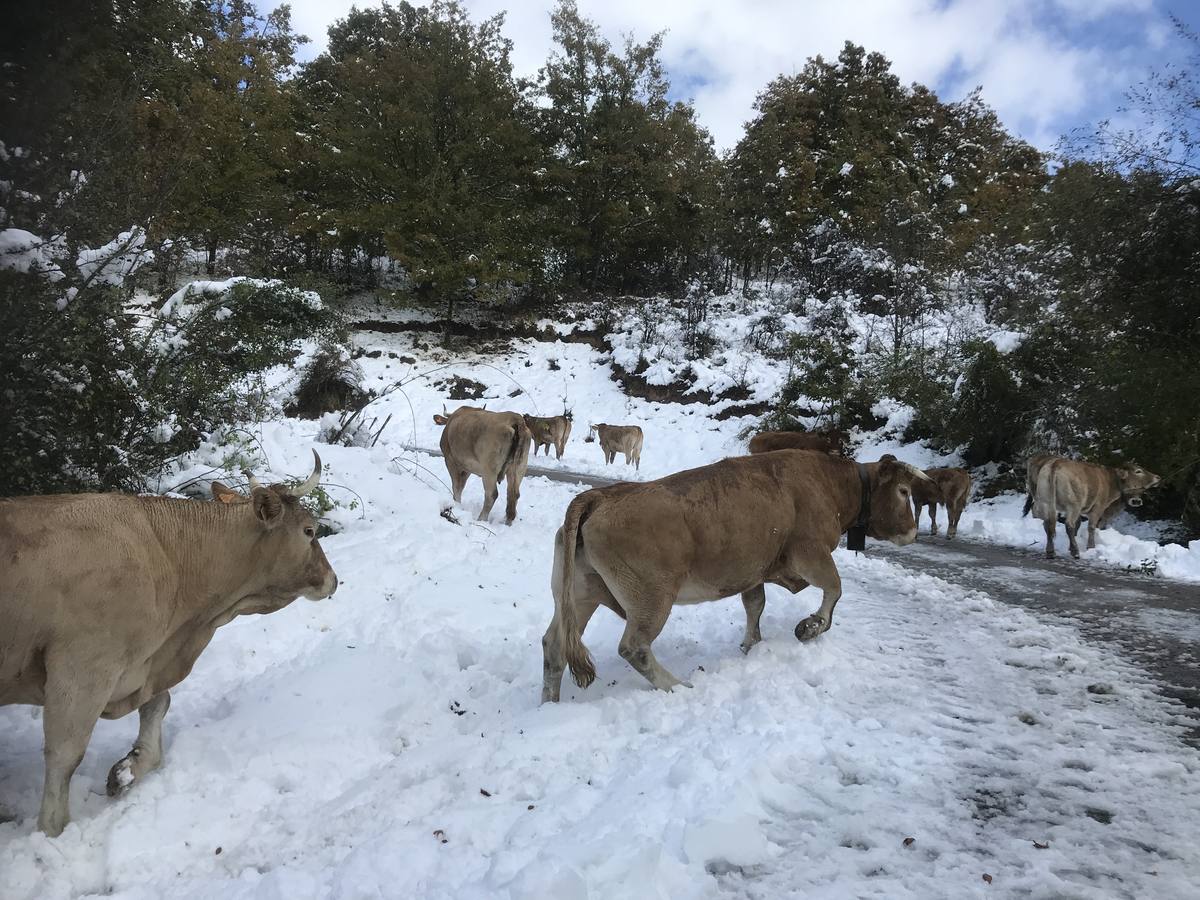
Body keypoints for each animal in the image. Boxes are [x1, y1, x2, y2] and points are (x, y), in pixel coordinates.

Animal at [1, 453, 338, 835]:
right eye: (309, 531)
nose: (333, 579)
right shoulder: (84, 667)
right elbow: (65, 755)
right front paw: (52, 832)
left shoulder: (144, 663)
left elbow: (158, 706)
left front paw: (127, 771)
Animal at [542, 453, 926, 700]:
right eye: (904, 491)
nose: (912, 532)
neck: (829, 482)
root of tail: (600, 495)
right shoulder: (810, 552)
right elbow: (834, 588)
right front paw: (810, 627)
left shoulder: (754, 571)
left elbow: (755, 605)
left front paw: (750, 646)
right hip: (650, 598)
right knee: (633, 647)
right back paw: (678, 687)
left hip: (579, 593)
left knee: (554, 645)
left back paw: (549, 701)